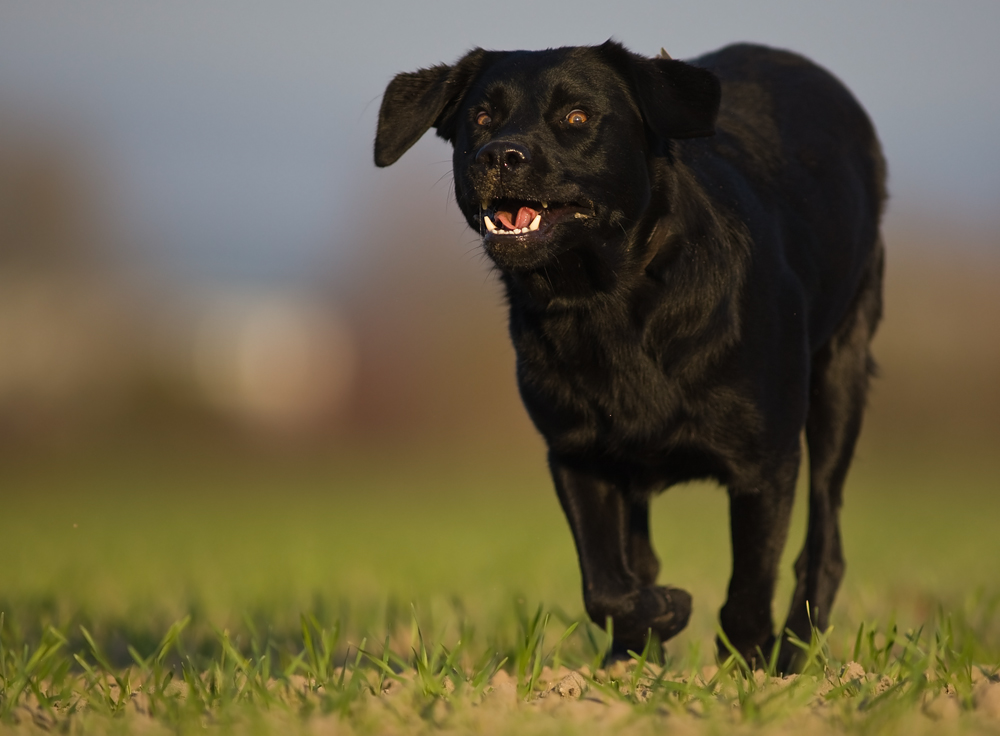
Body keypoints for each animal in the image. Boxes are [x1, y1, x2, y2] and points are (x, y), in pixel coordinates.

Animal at [374, 41, 884, 672]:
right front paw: (658, 619)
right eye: (482, 118)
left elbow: (747, 589)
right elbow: (606, 587)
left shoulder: (765, 461)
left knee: (824, 541)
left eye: (577, 117)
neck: (606, 304)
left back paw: (792, 655)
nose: (499, 156)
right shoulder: (578, 454)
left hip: (841, 377)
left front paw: (749, 666)